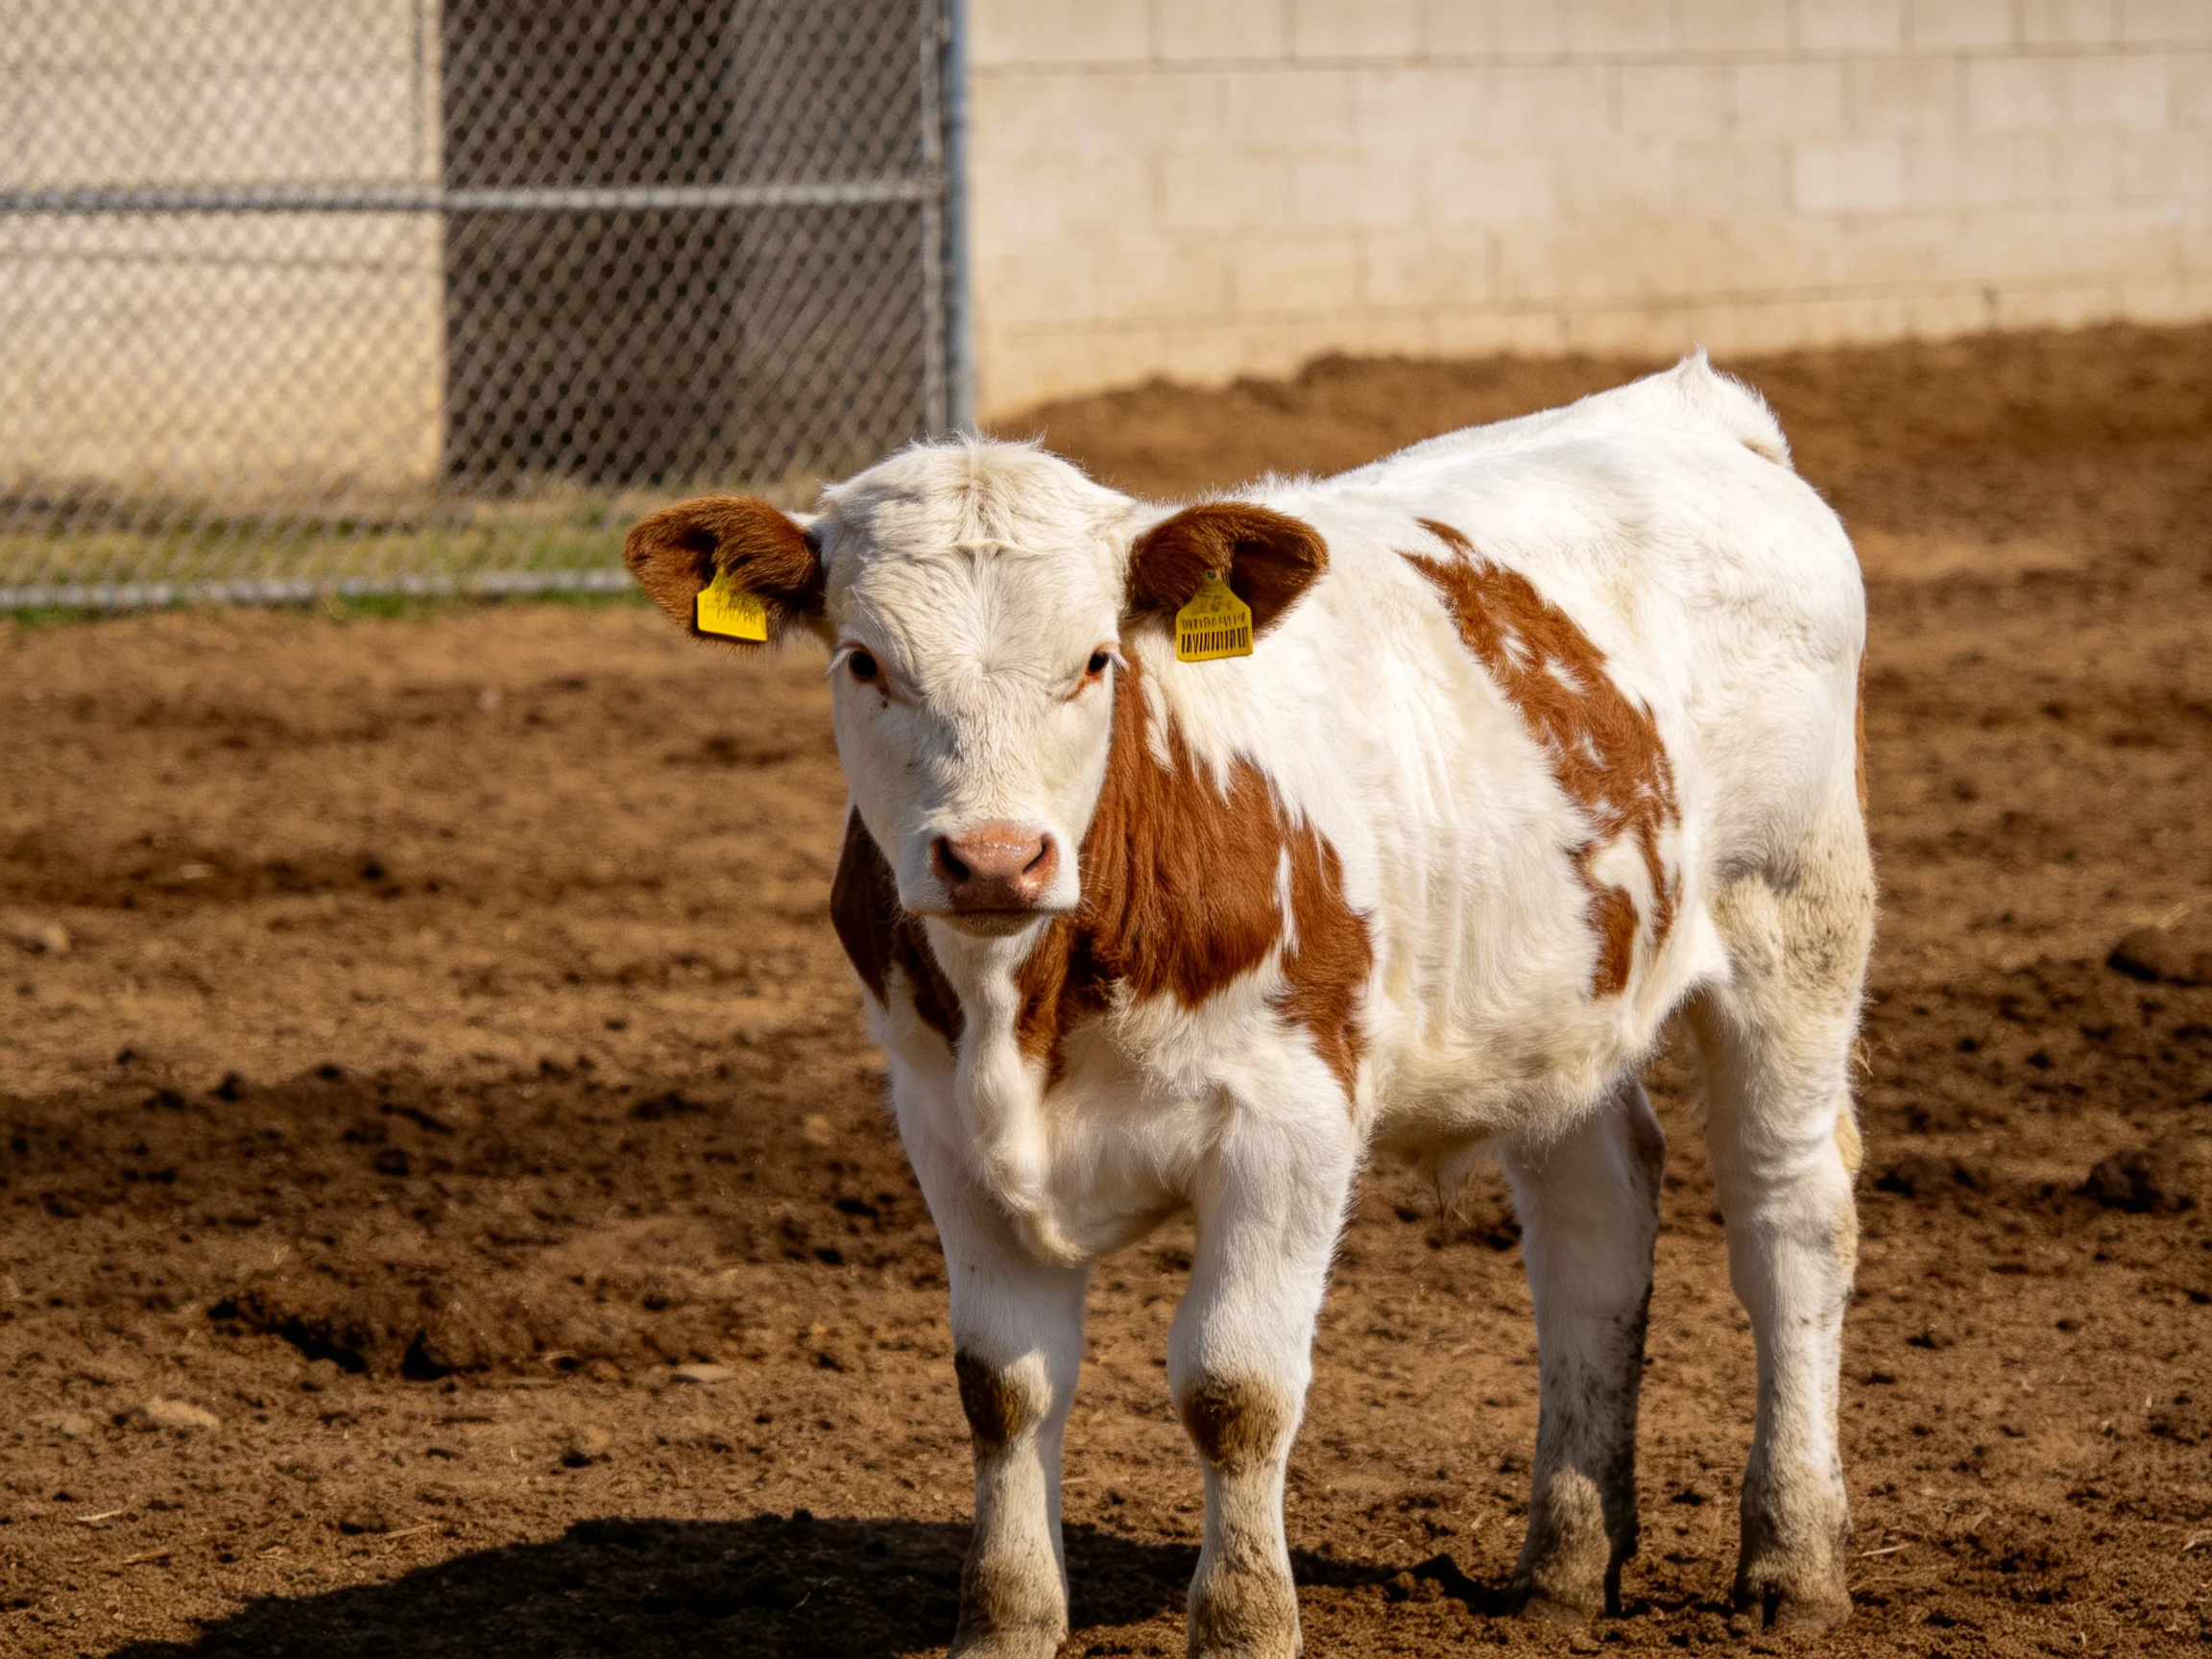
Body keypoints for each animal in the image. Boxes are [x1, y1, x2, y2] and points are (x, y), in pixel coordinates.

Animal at [622, 353, 1874, 1656]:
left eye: (1097, 660)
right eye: (865, 661)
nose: (994, 859)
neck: (1029, 999)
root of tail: (1690, 409)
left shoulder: (1290, 1121)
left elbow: (1236, 1388)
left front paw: (1243, 1621)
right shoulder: (943, 1126)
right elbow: (1003, 1386)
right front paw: (1009, 1620)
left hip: (1795, 922)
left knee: (1790, 1219)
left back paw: (1792, 1561)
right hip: (1561, 1006)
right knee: (1595, 1227)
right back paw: (1568, 1566)